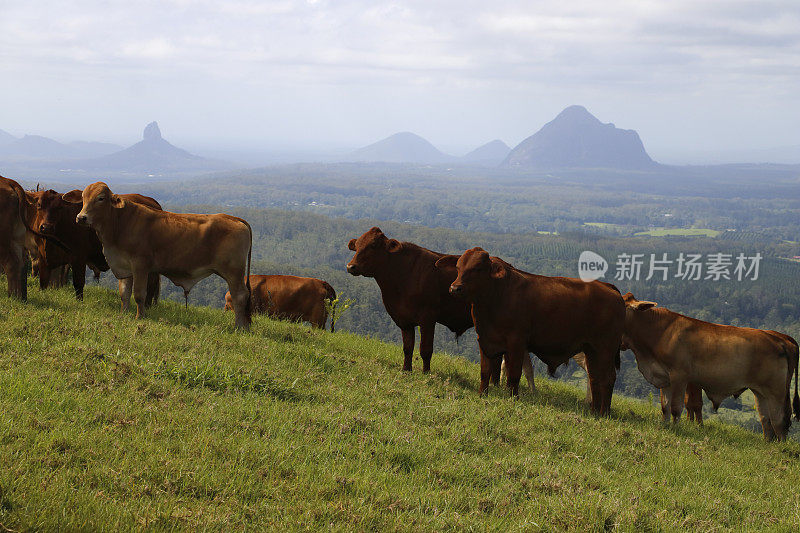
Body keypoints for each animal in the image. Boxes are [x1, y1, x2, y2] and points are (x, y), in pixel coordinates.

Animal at [346, 227, 476, 372]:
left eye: (373, 245)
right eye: (357, 246)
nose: (351, 266)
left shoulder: (428, 317)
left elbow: (425, 349)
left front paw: (426, 373)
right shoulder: (403, 319)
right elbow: (407, 348)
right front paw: (406, 370)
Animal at [438, 247, 624, 414]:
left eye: (477, 268)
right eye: (458, 267)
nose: (455, 288)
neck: (495, 297)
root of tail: (609, 287)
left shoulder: (516, 342)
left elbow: (514, 374)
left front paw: (513, 399)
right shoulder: (484, 340)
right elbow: (485, 372)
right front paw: (482, 395)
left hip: (605, 349)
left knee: (608, 378)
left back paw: (605, 413)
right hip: (591, 349)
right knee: (595, 378)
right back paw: (594, 411)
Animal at [620, 294, 796, 438]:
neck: (661, 332)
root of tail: (778, 339)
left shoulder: (679, 376)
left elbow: (676, 407)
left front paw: (676, 428)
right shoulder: (664, 377)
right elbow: (665, 406)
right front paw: (664, 425)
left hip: (776, 392)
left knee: (779, 420)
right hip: (760, 392)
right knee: (766, 419)